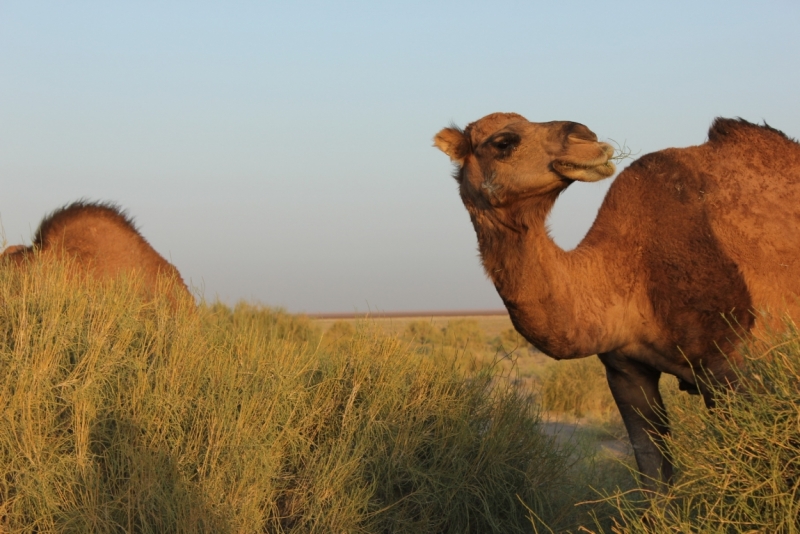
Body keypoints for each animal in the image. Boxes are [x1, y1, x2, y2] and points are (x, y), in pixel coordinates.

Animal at [434, 114, 800, 494]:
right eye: (504, 142)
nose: (586, 137)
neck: (631, 267)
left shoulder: (736, 372)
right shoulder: (625, 372)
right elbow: (653, 475)